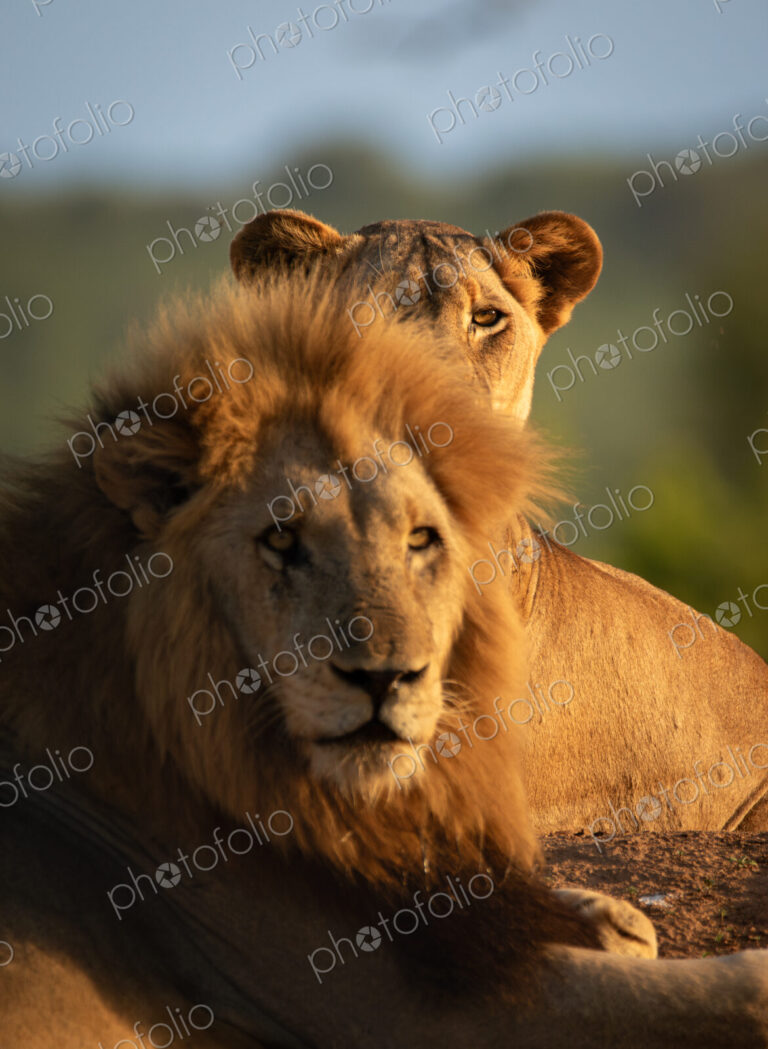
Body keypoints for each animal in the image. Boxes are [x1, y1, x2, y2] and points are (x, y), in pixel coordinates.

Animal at [1, 273, 767, 1048]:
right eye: (281, 539)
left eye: (421, 539)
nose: (385, 677)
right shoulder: (396, 1005)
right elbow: (734, 989)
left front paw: (608, 918)